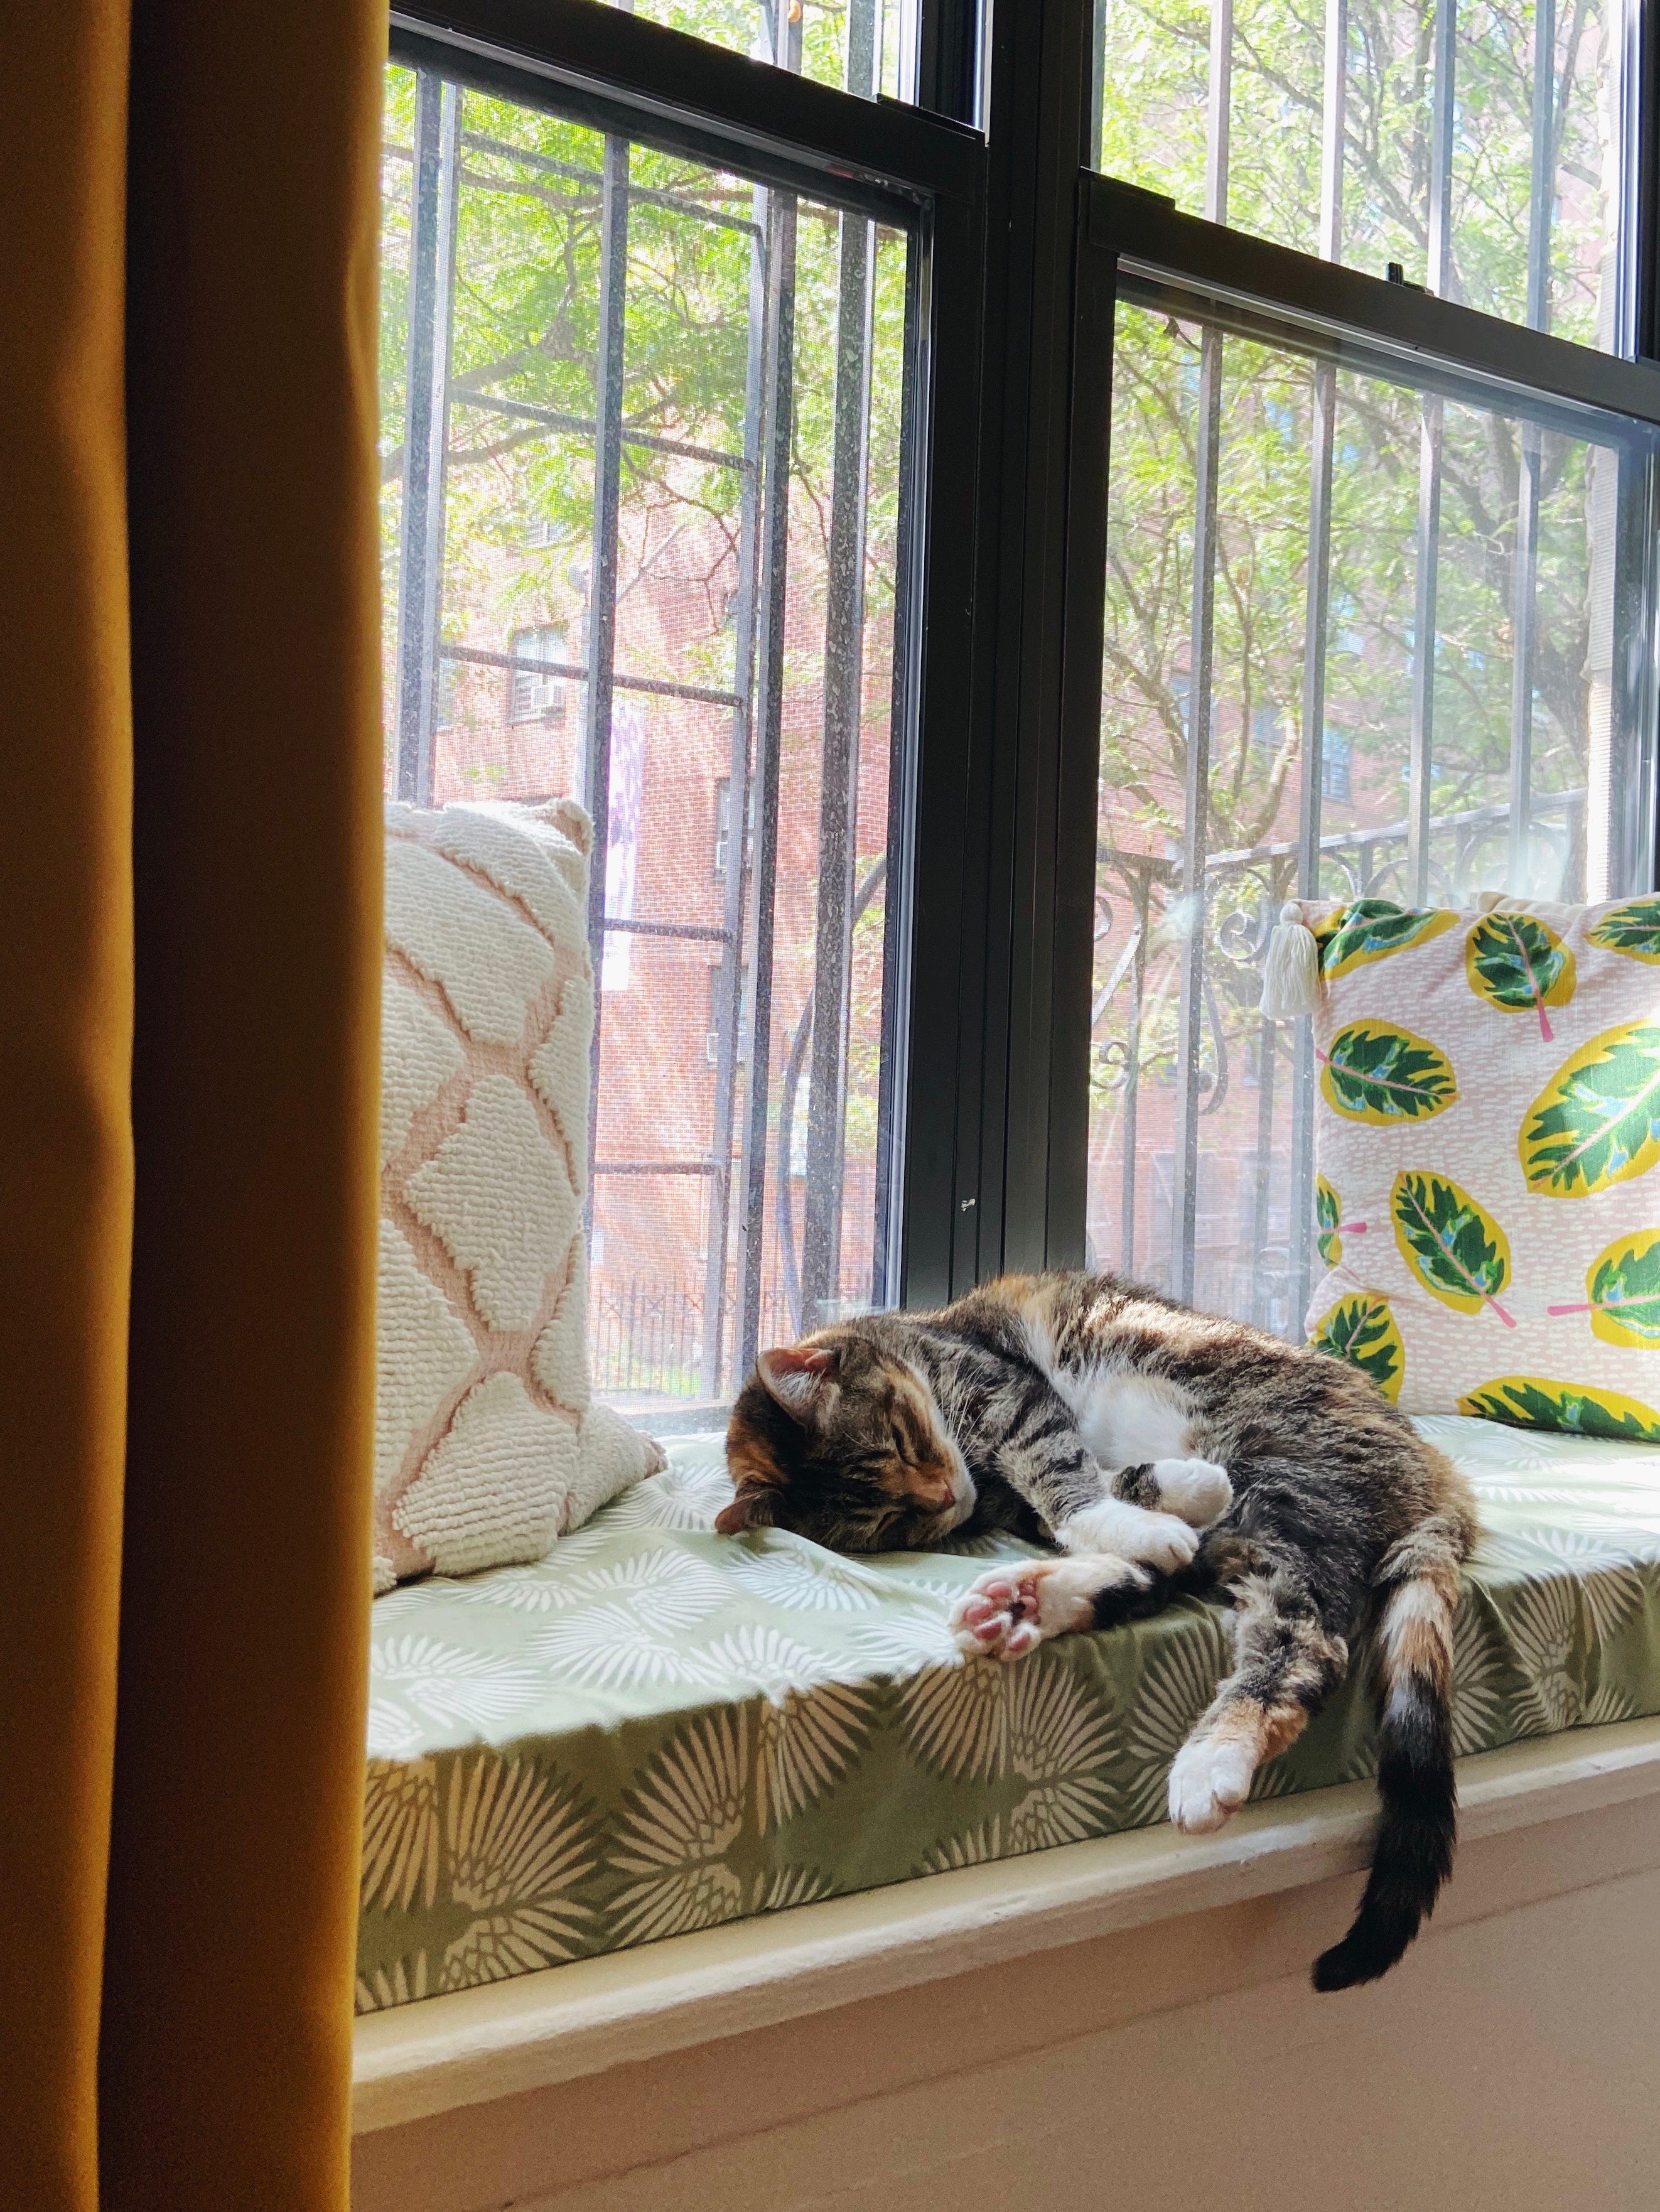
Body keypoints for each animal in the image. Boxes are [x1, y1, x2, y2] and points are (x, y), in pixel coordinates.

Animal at [721, 1265, 1478, 1990]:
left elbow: (1060, 1468)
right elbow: (1091, 1496)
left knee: (1303, 1640)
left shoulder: (1000, 1388)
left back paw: (1211, 1757)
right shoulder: (1006, 1488)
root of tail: (1440, 1472)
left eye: (904, 1440)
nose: (944, 1497)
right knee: (1184, 1568)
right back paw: (1031, 1600)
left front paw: (1165, 1495)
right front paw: (1157, 1509)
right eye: (890, 1521)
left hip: (1286, 1478)